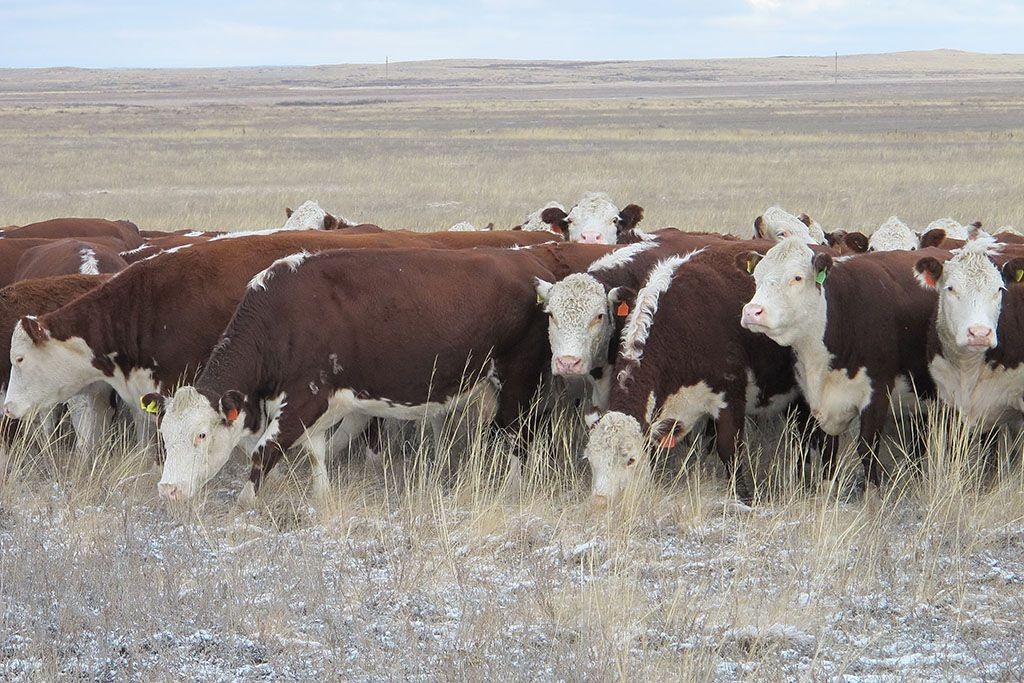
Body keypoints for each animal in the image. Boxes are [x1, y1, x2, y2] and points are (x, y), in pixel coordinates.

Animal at [737, 237, 942, 489]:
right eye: (756, 277)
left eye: (797, 277)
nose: (752, 312)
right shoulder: (818, 402)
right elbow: (827, 451)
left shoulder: (878, 393)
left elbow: (867, 448)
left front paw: (872, 491)